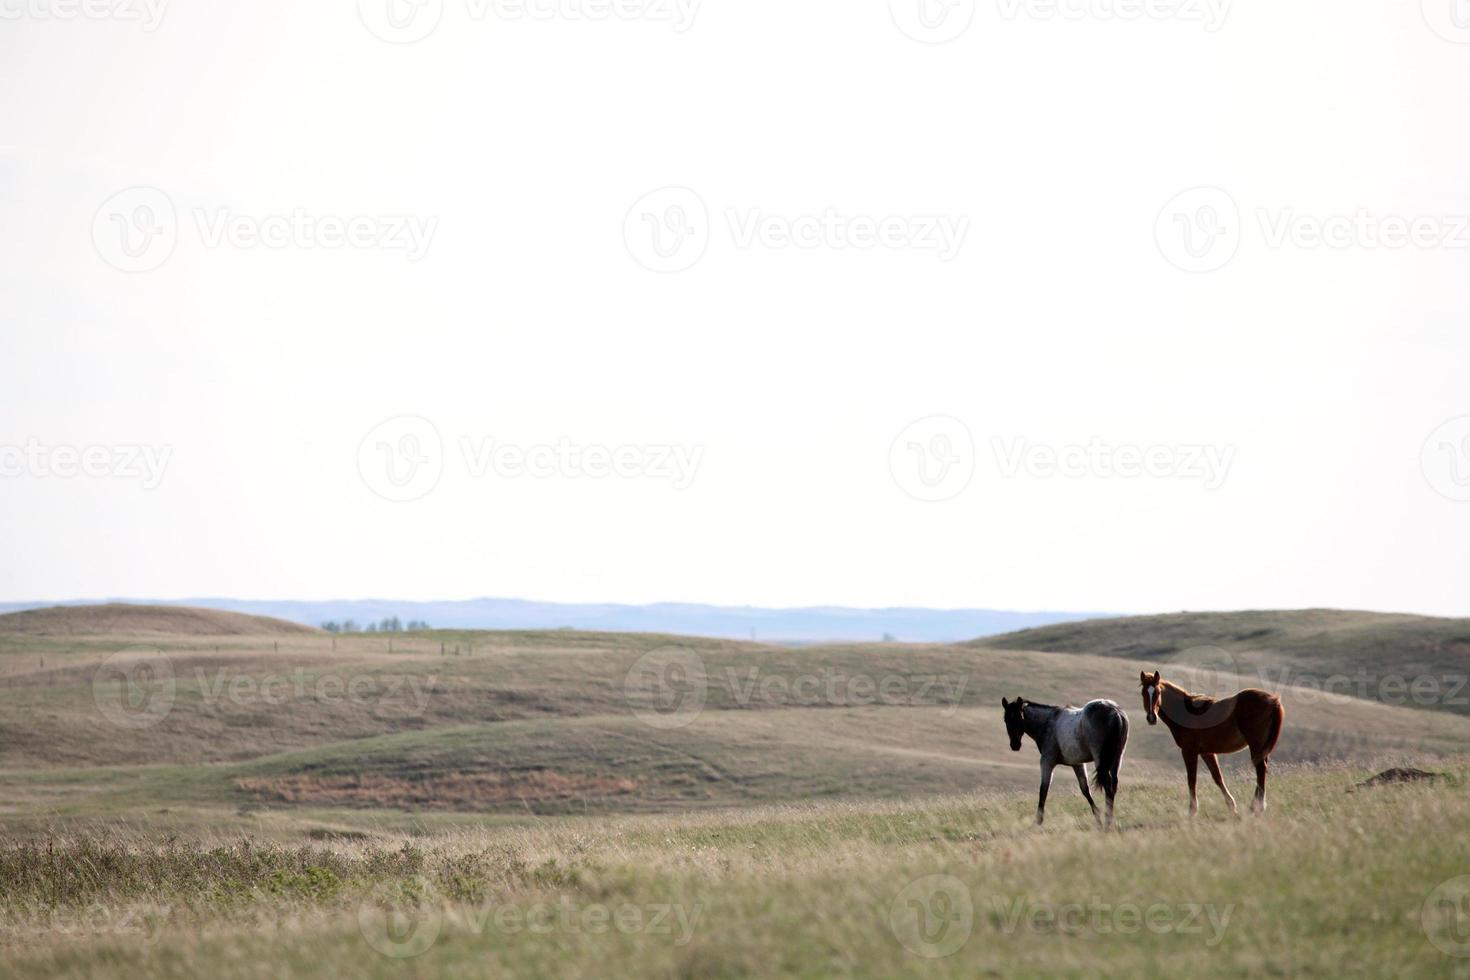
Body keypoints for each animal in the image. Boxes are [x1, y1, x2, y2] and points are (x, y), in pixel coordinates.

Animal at [1005, 696, 1128, 828]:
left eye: (1019, 717)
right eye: (1006, 720)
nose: (1015, 745)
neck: (1047, 722)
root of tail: (1115, 711)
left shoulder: (1047, 762)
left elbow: (1043, 789)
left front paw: (1038, 820)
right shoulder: (1077, 764)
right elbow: (1085, 790)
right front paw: (1097, 817)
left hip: (1100, 759)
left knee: (1108, 785)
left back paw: (1108, 822)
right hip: (1117, 758)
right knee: (1113, 784)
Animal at [1140, 667, 1281, 822]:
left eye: (1158, 692)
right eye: (1143, 693)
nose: (1151, 718)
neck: (1187, 713)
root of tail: (1273, 700)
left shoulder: (1189, 751)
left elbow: (1192, 779)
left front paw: (1192, 810)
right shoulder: (1206, 752)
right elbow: (1217, 777)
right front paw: (1232, 807)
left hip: (1256, 744)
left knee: (1260, 769)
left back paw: (1257, 807)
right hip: (1261, 747)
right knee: (1261, 769)